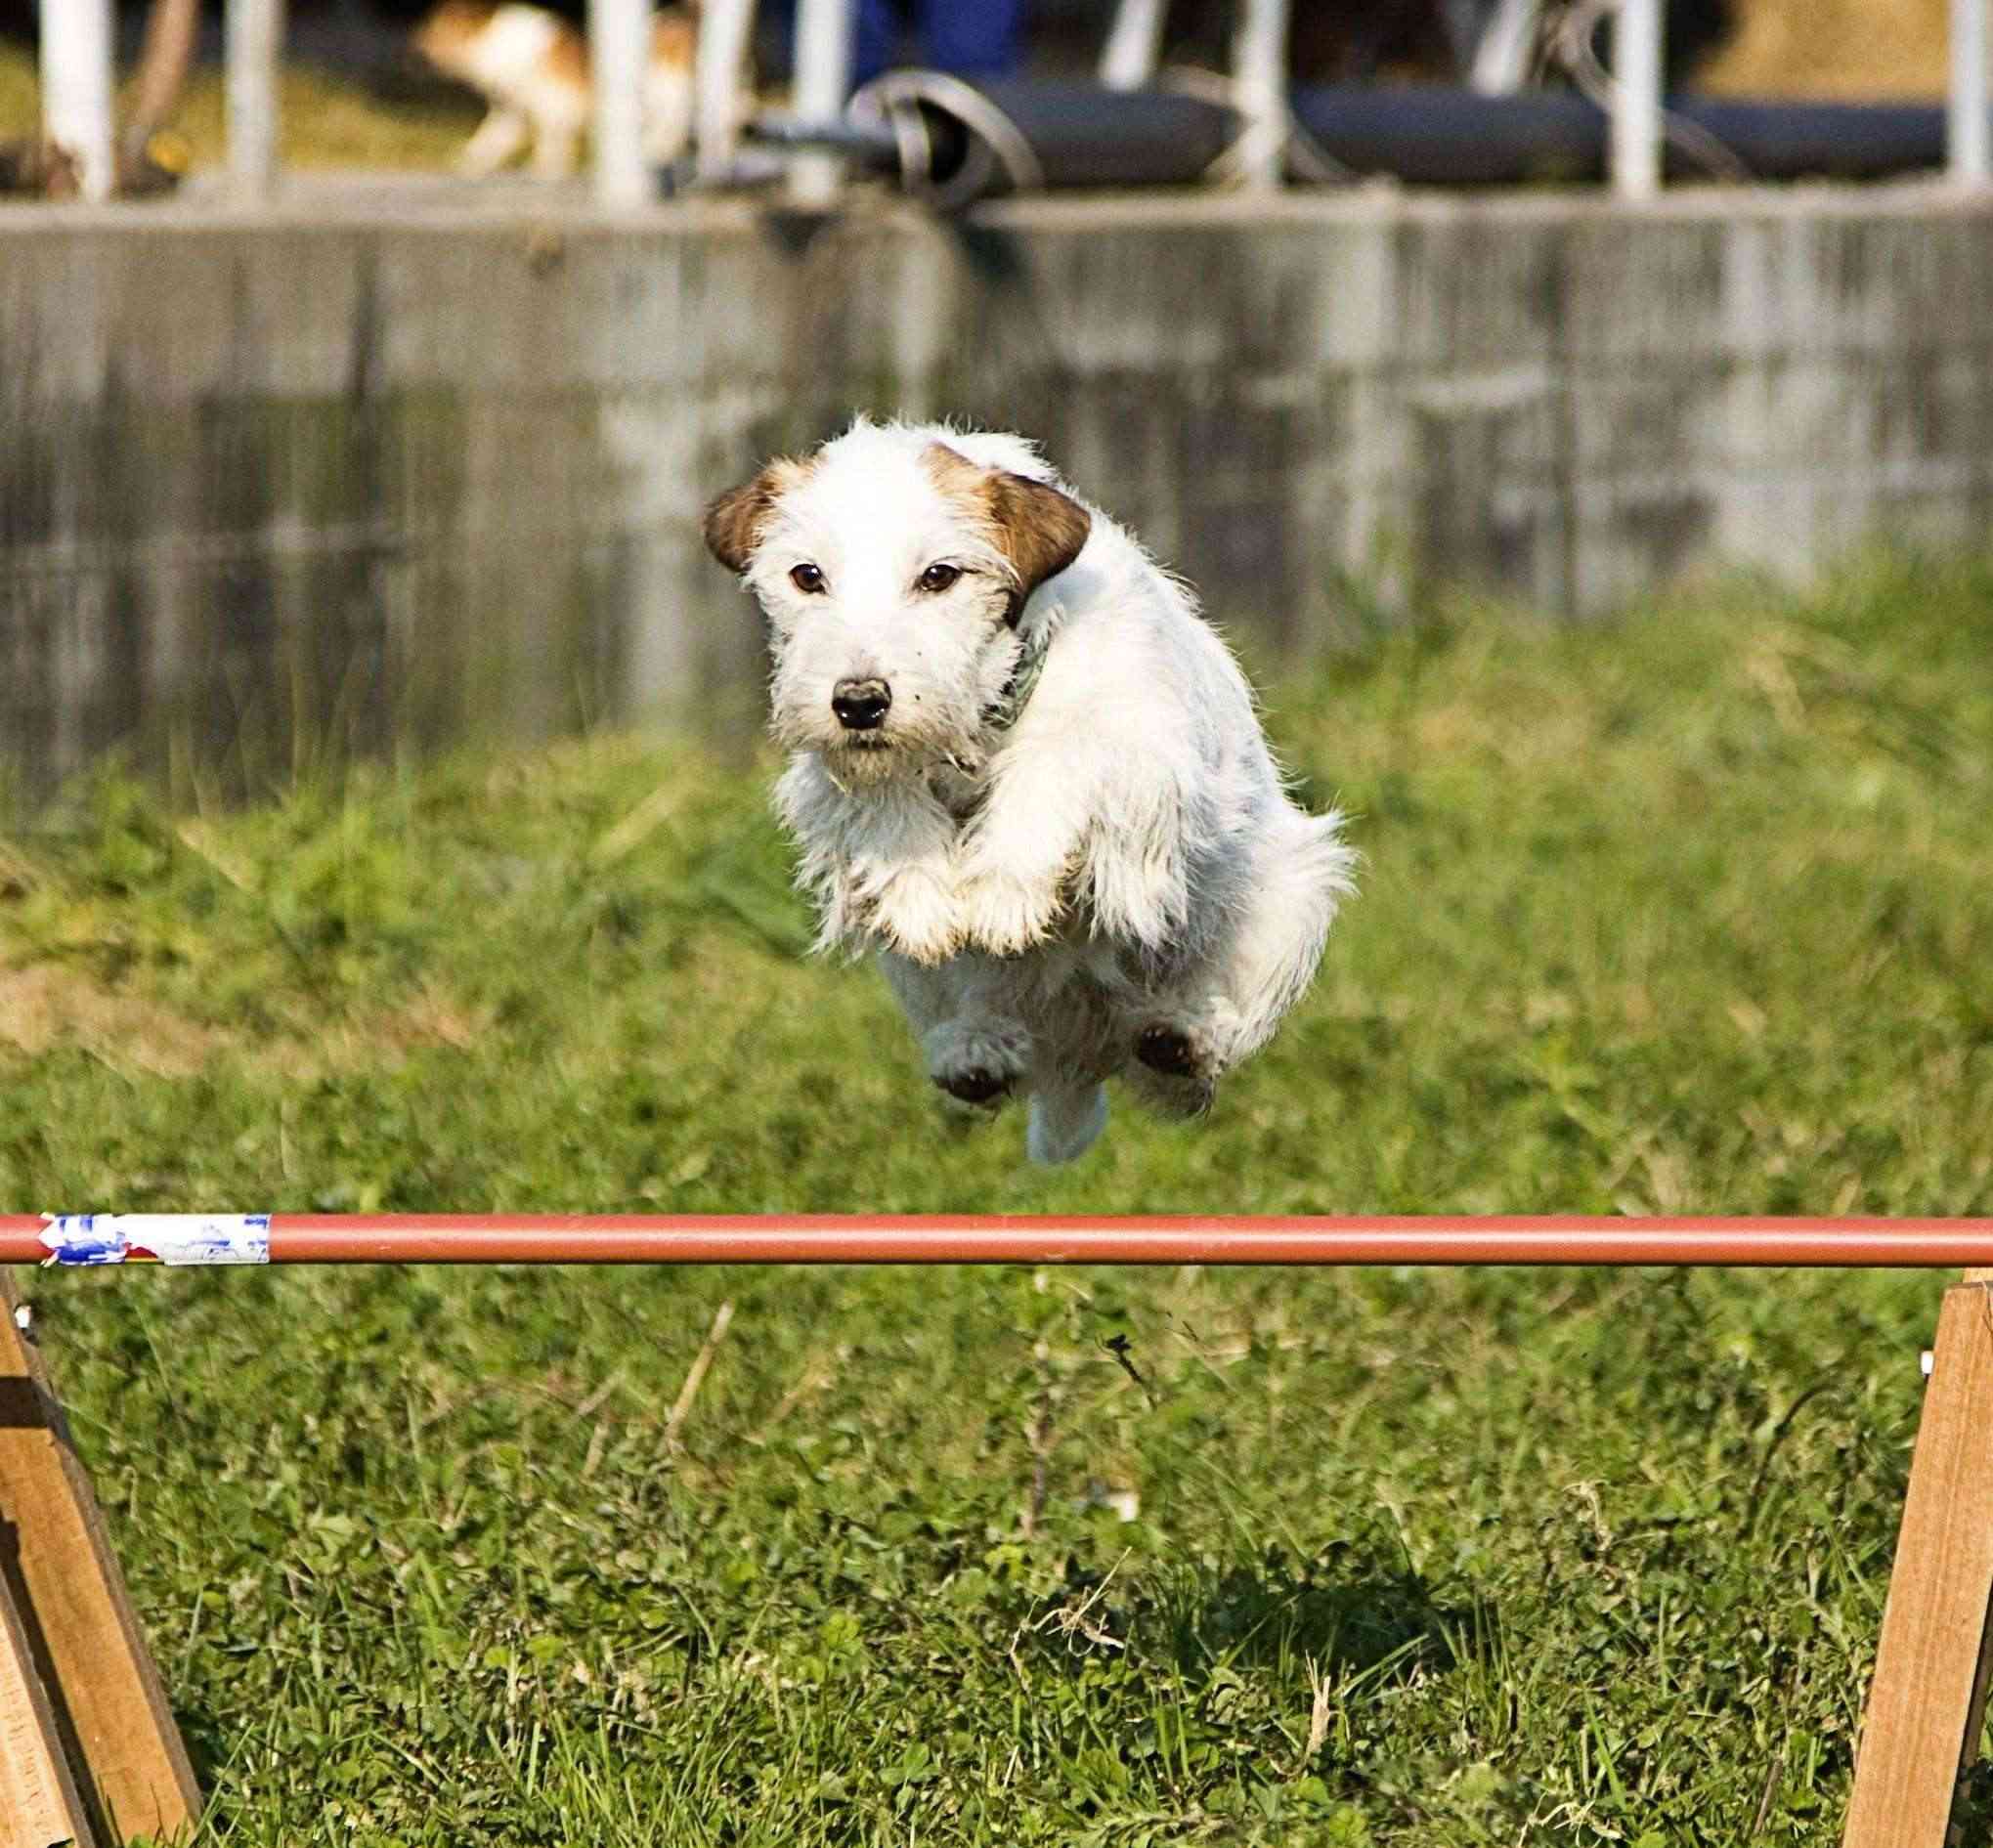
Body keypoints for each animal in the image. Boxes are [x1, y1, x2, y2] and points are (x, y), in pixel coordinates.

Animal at [408, 0, 705, 179]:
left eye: (435, 31)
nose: (414, 47)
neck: (497, 46)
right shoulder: (512, 115)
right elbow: (486, 144)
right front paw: (466, 165)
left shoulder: (552, 109)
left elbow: (548, 147)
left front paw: (545, 171)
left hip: (667, 94)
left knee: (671, 128)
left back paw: (655, 151)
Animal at [701, 426, 1355, 1164]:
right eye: (806, 576)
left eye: (940, 575)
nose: (859, 704)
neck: (978, 719)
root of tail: (1079, 1054)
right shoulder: (834, 773)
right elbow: (883, 799)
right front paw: (921, 890)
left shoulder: (1139, 747)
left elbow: (1053, 764)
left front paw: (1004, 892)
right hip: (921, 980)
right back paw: (975, 1050)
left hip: (1290, 893)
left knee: (1199, 1045)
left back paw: (1182, 1035)